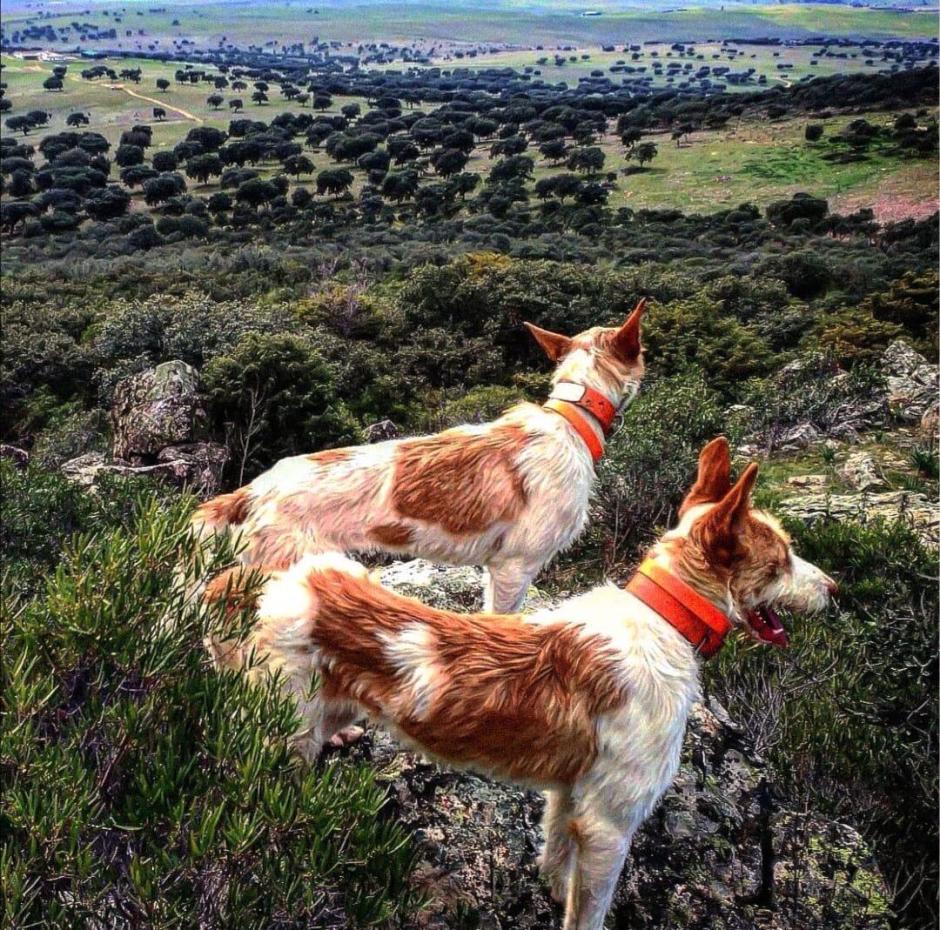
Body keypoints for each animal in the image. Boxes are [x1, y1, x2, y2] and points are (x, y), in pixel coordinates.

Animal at [206, 436, 836, 928]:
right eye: (781, 559)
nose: (834, 588)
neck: (664, 621)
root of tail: (248, 584)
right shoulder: (610, 827)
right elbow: (590, 912)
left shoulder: (570, 798)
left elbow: (557, 865)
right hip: (277, 739)